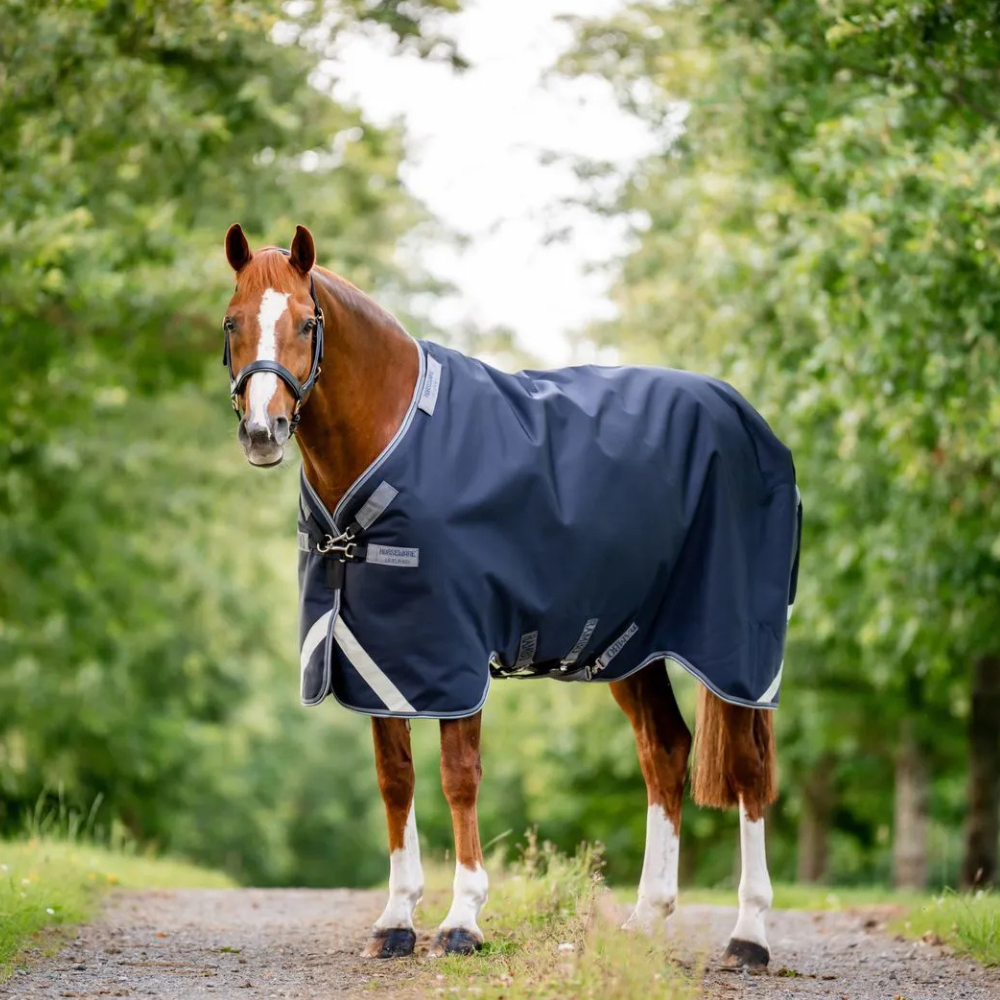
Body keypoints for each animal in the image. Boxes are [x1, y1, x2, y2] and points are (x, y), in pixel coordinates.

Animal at [219, 223, 800, 968]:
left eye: (305, 322)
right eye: (232, 322)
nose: (262, 432)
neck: (393, 437)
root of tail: (749, 420)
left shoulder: (453, 652)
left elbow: (458, 775)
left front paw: (463, 919)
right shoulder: (378, 656)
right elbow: (395, 778)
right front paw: (396, 920)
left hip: (737, 652)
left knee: (750, 771)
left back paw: (748, 935)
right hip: (632, 649)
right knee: (665, 751)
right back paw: (646, 919)